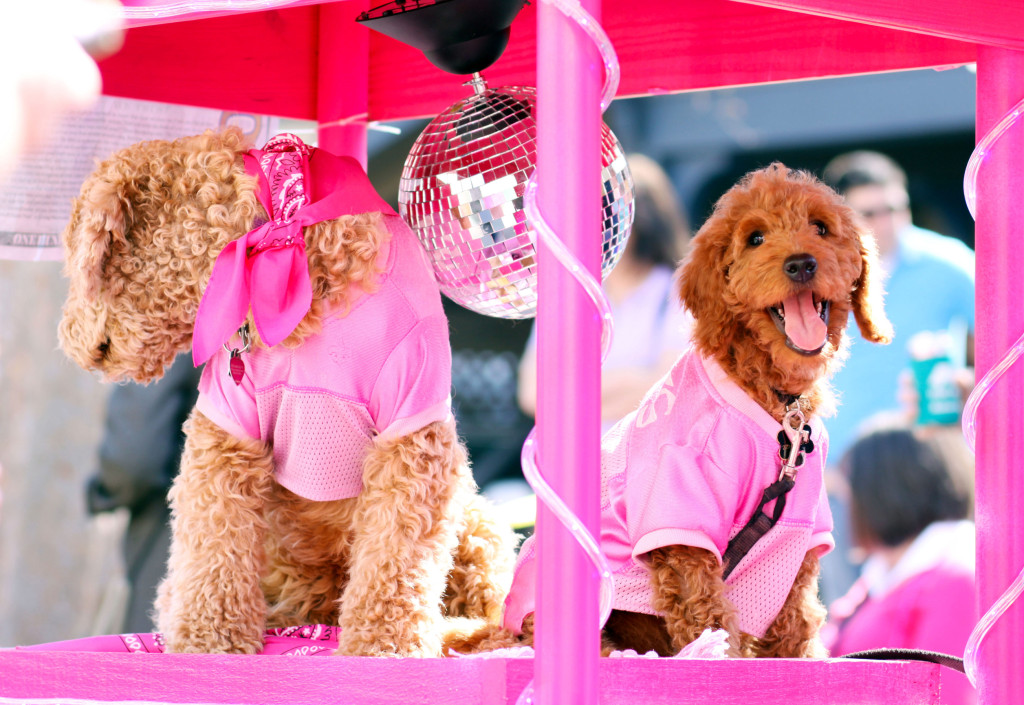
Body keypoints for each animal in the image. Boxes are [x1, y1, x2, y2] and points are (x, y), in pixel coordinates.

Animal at [57, 128, 516, 655]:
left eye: (79, 263)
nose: (64, 339)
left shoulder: (412, 426)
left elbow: (397, 556)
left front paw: (384, 648)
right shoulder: (227, 426)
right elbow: (215, 541)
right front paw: (208, 641)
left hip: (478, 523)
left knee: (493, 611)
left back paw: (462, 631)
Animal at [448, 162, 888, 659]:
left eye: (821, 228)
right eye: (755, 238)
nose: (800, 263)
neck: (775, 399)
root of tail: (504, 632)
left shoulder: (796, 534)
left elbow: (796, 623)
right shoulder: (680, 513)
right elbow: (709, 618)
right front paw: (717, 655)